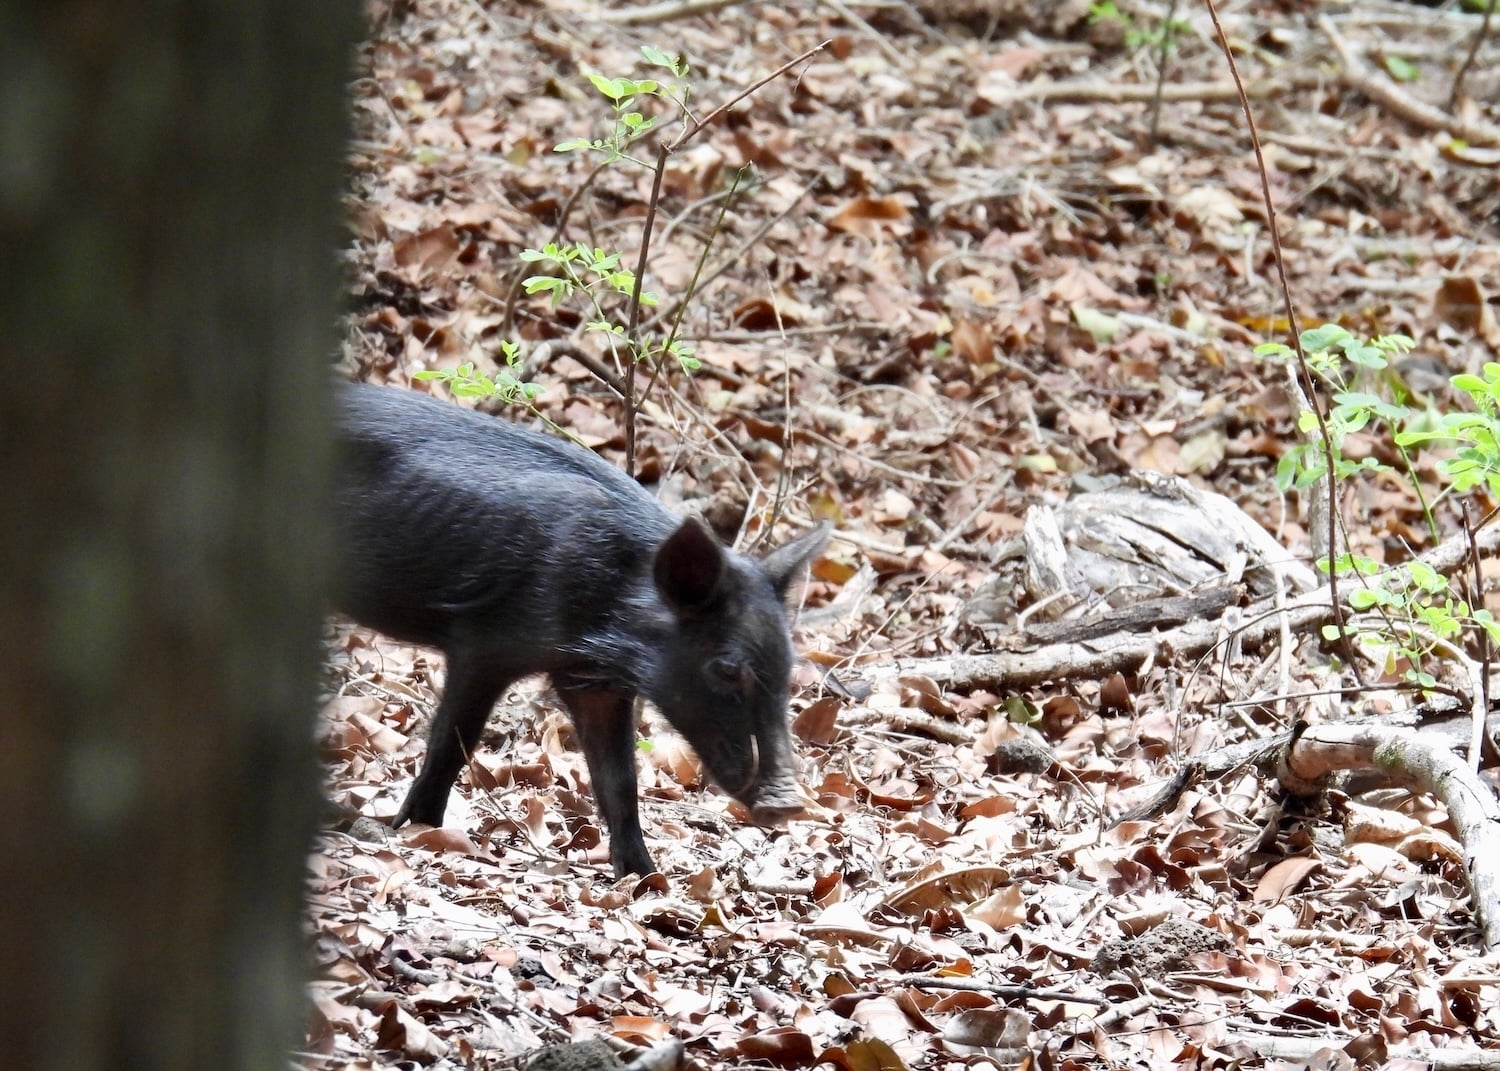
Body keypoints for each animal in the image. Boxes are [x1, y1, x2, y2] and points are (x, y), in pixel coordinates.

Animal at [333, 383, 828, 877]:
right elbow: (452, 742)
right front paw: (418, 831)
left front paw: (648, 880)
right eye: (725, 668)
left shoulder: (591, 683)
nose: (789, 804)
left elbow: (619, 780)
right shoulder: (482, 645)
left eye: (787, 667)